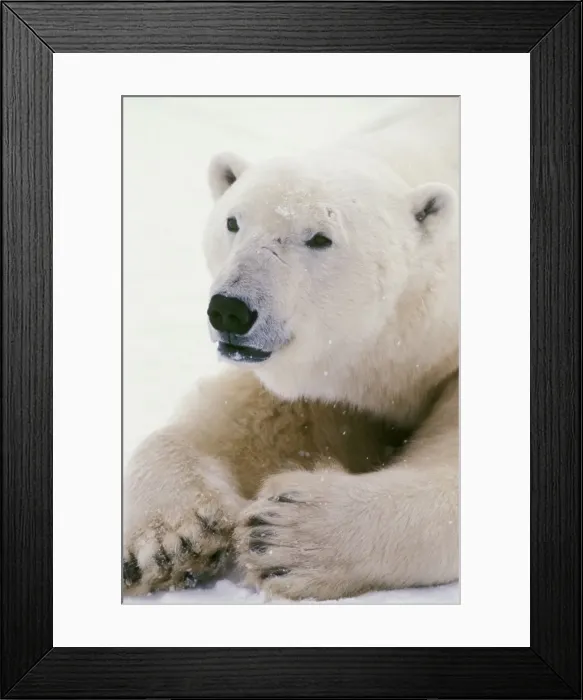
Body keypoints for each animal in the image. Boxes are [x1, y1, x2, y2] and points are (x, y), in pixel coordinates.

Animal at [123, 97, 460, 601]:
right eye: (233, 221)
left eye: (320, 237)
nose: (230, 311)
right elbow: (250, 420)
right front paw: (169, 539)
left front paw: (284, 532)